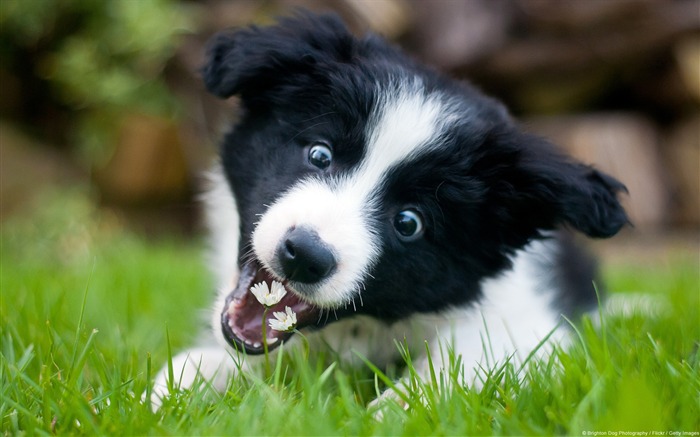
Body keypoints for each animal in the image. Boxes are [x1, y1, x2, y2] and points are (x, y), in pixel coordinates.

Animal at [152, 11, 624, 408]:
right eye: (319, 154)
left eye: (408, 222)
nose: (305, 255)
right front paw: (172, 390)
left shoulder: (530, 331)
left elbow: (458, 369)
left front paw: (387, 414)